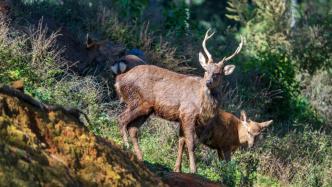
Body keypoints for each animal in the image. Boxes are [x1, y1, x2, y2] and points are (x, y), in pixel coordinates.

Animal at [115, 28, 244, 173]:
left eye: (218, 73)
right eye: (206, 70)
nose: (208, 82)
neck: (203, 105)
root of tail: (120, 79)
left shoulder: (181, 117)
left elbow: (181, 141)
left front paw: (177, 168)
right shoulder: (188, 113)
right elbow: (191, 143)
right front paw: (193, 170)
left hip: (146, 109)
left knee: (132, 128)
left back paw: (140, 157)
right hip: (138, 100)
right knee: (122, 118)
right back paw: (126, 146)